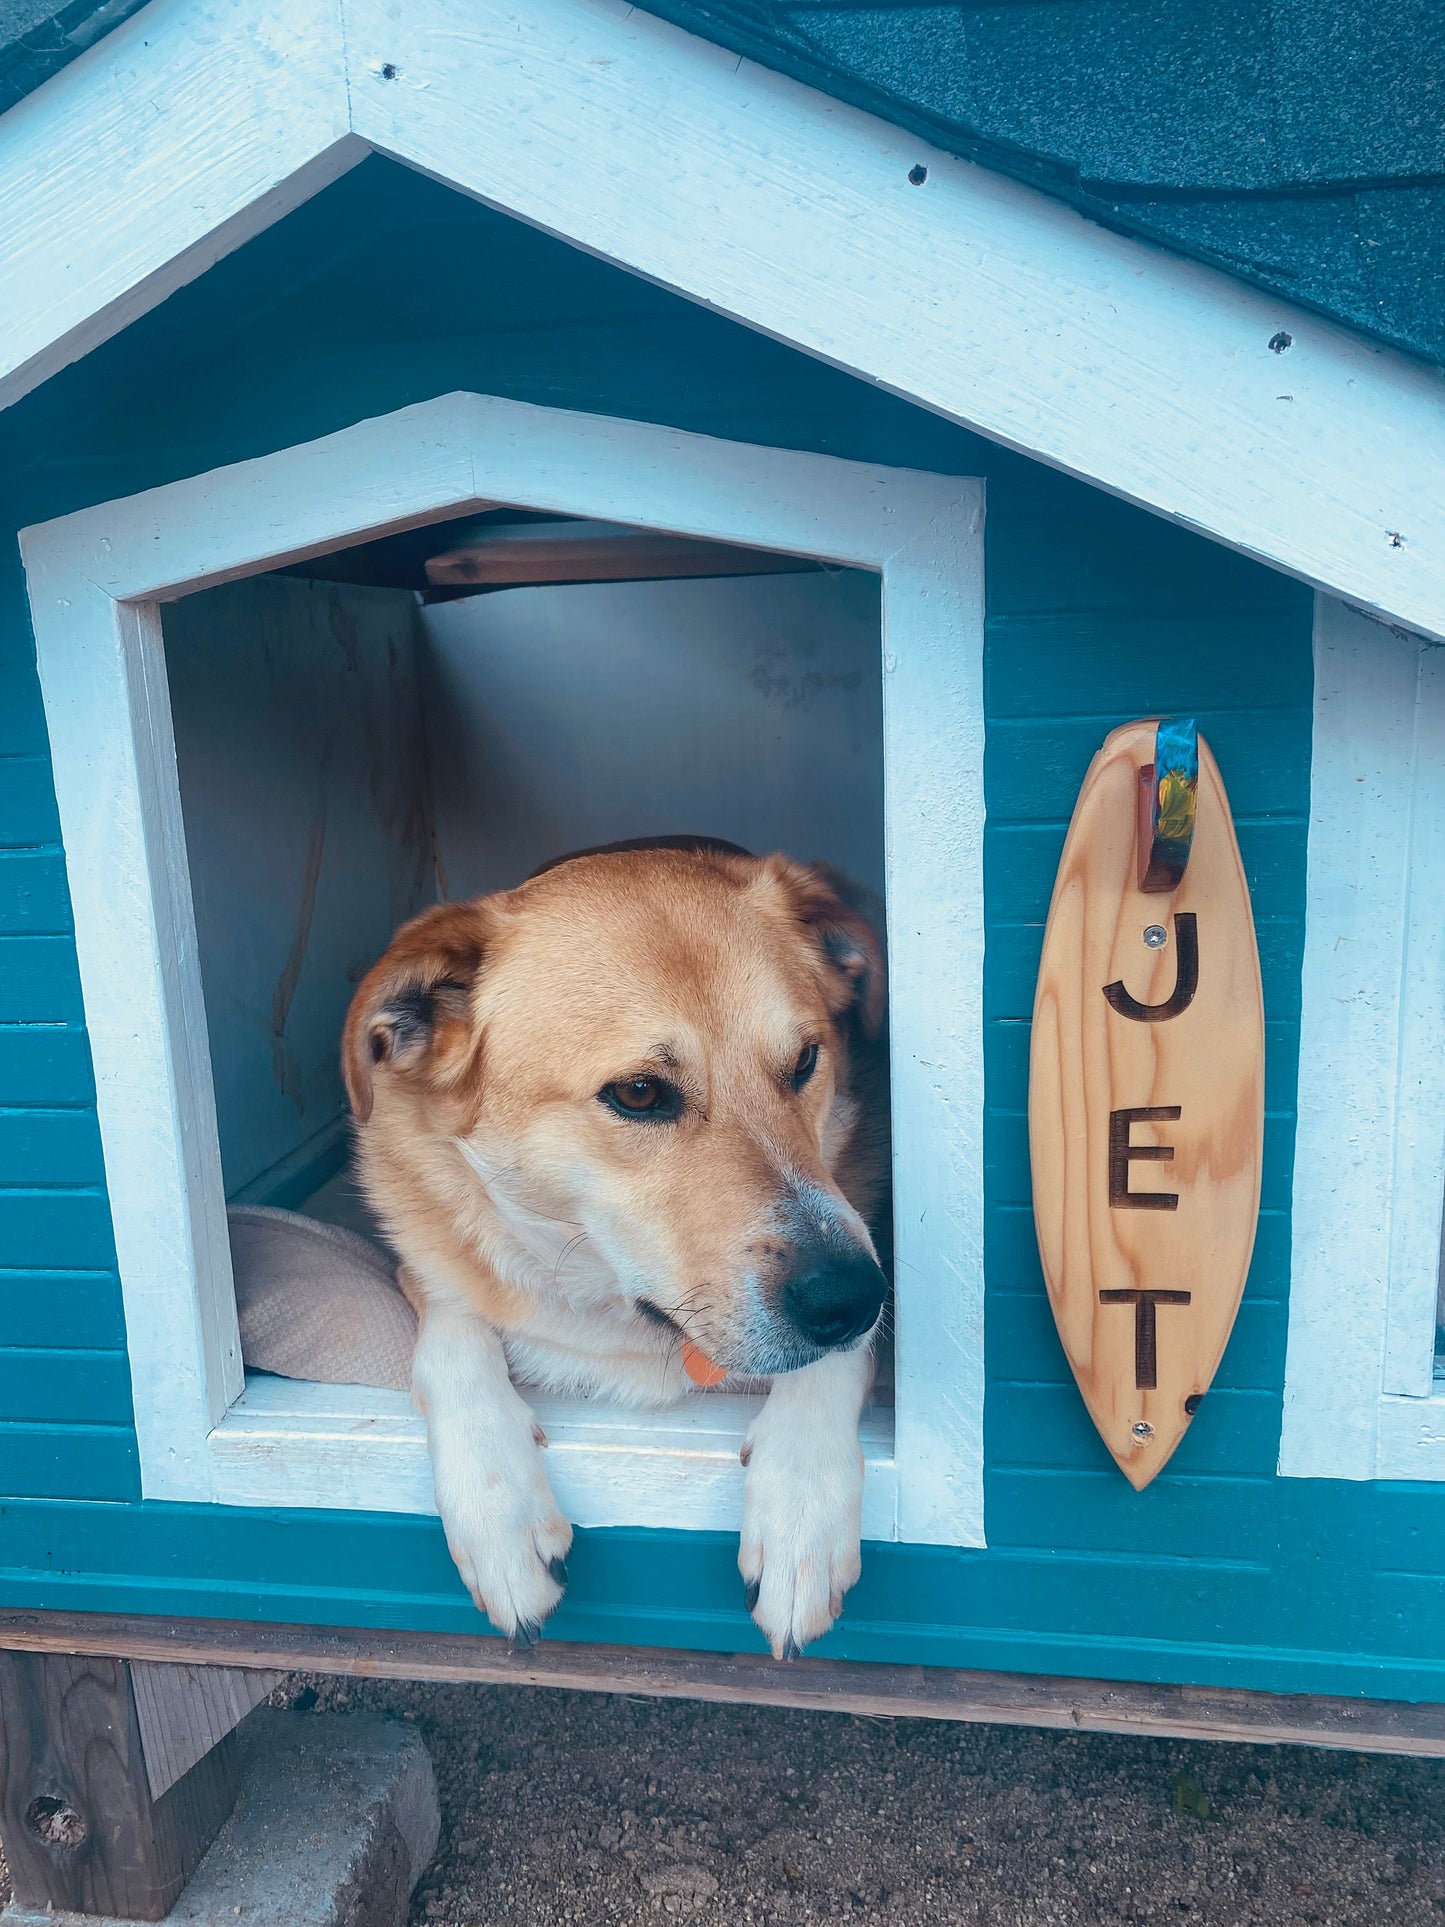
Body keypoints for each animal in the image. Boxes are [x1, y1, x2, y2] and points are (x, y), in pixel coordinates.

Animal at [342, 836, 890, 1664]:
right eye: (637, 1093)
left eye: (804, 1061)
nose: (851, 1299)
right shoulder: (429, 1263)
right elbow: (450, 1337)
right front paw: (499, 1512)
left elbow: (830, 1369)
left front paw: (802, 1513)